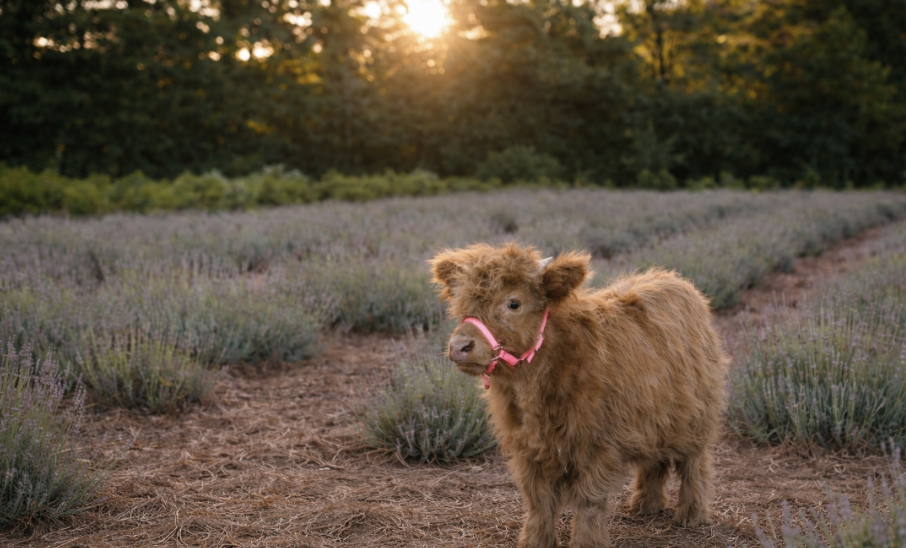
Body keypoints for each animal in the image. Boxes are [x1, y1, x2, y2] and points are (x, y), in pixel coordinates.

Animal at [429, 243, 728, 548]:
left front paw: (587, 541)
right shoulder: (528, 447)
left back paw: (692, 515)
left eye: (513, 303)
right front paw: (535, 541)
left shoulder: (598, 444)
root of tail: (673, 279)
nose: (460, 346)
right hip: (655, 416)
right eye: (461, 304)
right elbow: (538, 499)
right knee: (654, 462)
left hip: (696, 417)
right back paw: (646, 505)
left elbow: (589, 500)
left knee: (694, 465)